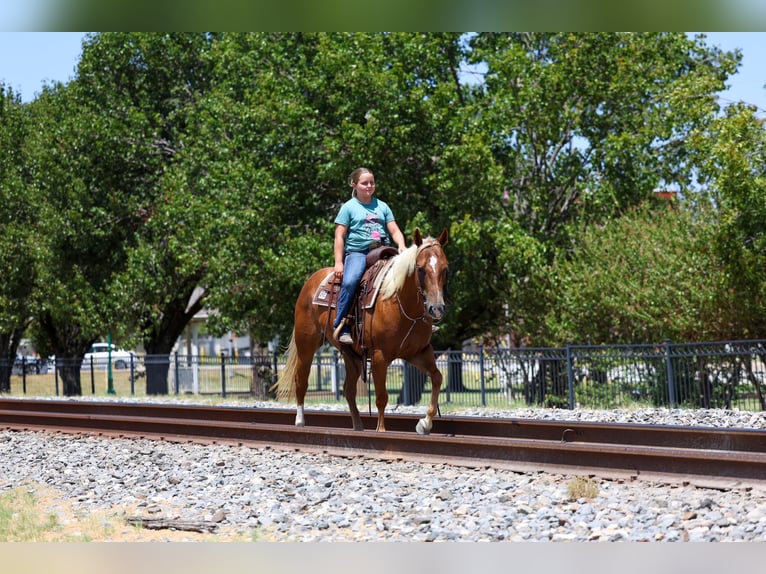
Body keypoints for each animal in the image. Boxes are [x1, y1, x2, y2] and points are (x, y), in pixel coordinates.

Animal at [273, 228, 449, 434]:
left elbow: (437, 377)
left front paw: (425, 423)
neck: (401, 303)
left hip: (352, 356)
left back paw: (358, 426)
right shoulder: (380, 355)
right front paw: (381, 430)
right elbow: (381, 397)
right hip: (306, 344)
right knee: (301, 380)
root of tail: (311, 281)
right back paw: (300, 421)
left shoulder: (419, 352)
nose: (436, 309)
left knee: (348, 389)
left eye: (445, 269)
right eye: (420, 269)